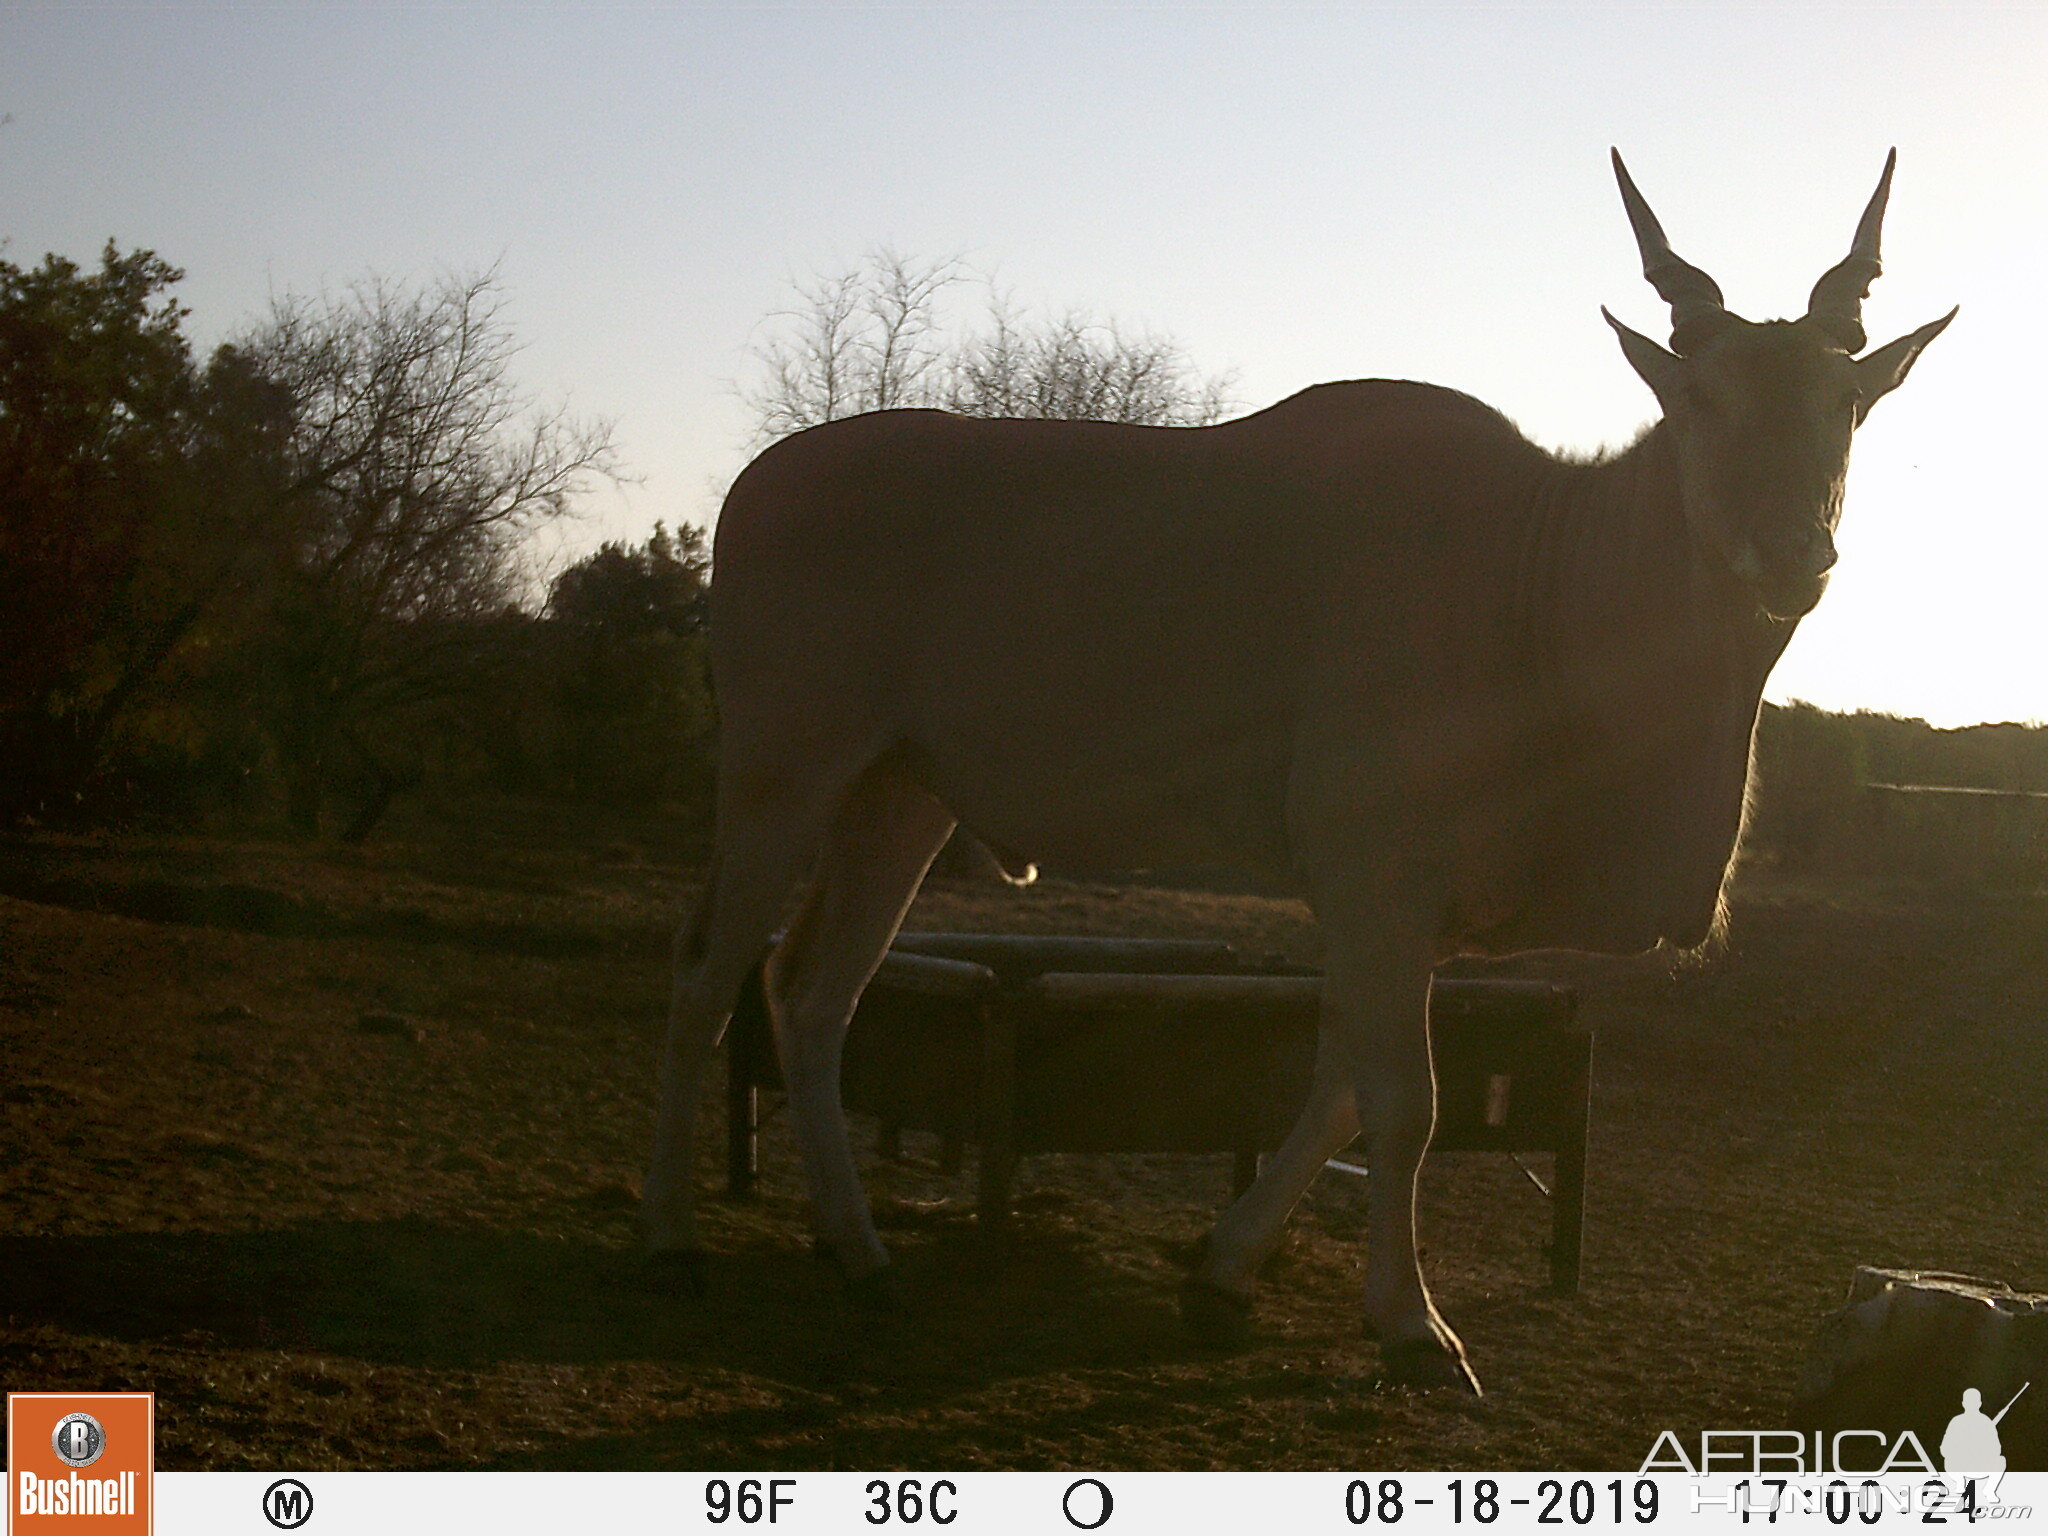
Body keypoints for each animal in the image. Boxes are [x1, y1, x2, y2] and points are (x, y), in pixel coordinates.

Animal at [638, 153, 1949, 1392]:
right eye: (1699, 397)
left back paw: (860, 1255)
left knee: (813, 992)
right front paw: (1413, 1330)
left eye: (1842, 400)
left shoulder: (1397, 913)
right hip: (780, 776)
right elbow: (1404, 1101)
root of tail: (754, 486)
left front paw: (1219, 1278)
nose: (1789, 552)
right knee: (705, 973)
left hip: (897, 799)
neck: (1529, 571)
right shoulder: (1375, 877)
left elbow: (1340, 1089)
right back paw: (673, 1246)